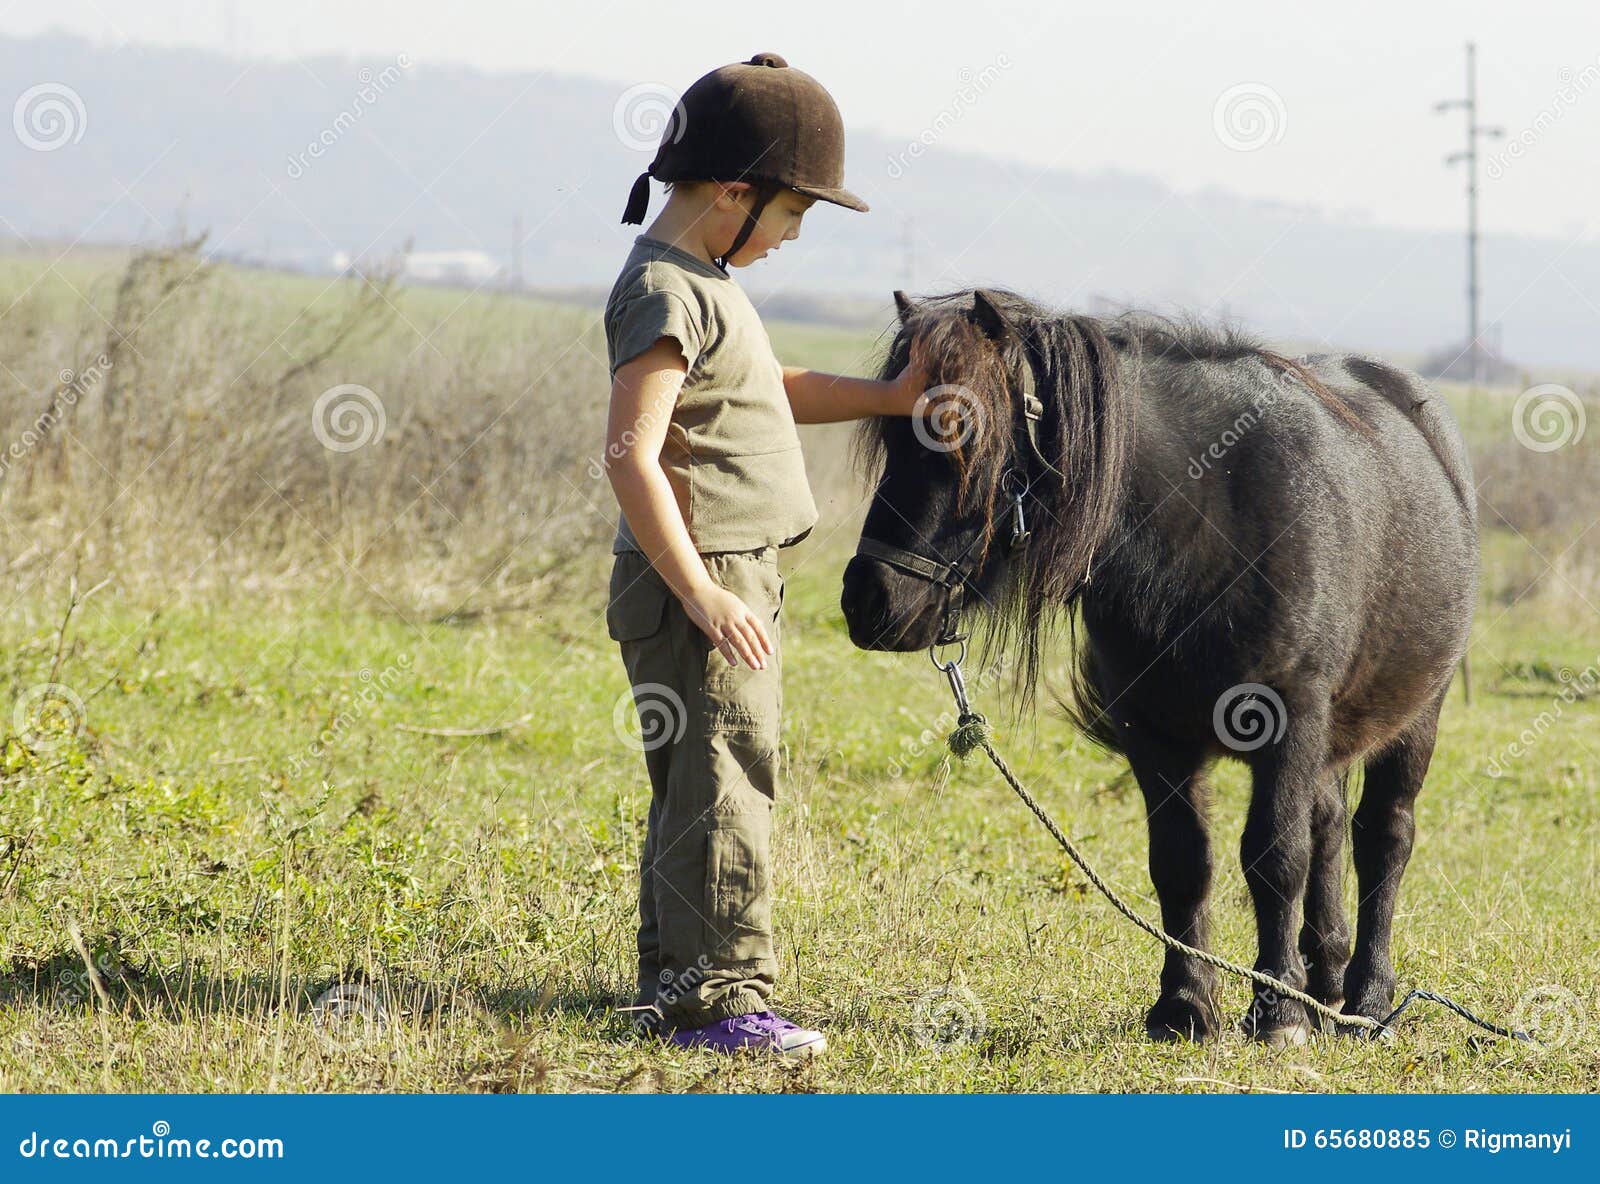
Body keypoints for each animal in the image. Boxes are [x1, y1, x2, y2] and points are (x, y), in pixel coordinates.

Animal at [844, 289, 1478, 1043]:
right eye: (889, 437)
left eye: (960, 434)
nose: (868, 598)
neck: (1210, 519)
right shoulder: (1153, 734)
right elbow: (1182, 861)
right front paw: (1186, 1005)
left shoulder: (1288, 719)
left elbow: (1274, 857)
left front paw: (1277, 1012)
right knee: (1327, 830)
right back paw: (1324, 982)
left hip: (1415, 719)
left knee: (1383, 837)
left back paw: (1366, 1000)